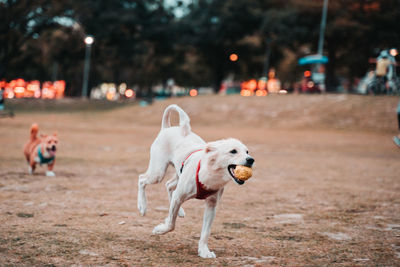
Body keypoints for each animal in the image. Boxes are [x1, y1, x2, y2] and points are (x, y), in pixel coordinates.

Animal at [136, 105, 255, 260]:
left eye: (247, 151)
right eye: (233, 151)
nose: (251, 160)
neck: (211, 173)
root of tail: (166, 128)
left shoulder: (211, 205)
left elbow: (205, 232)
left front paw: (204, 251)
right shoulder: (181, 194)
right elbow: (171, 224)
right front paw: (160, 230)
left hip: (178, 174)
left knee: (169, 186)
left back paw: (179, 211)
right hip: (158, 172)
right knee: (142, 179)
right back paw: (142, 206)